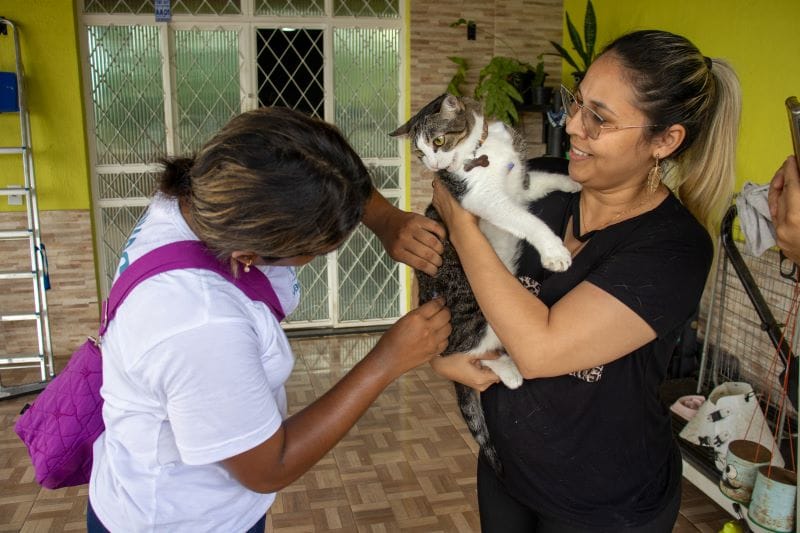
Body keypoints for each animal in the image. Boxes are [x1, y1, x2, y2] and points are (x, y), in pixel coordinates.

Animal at [390, 92, 580, 474]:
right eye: (419, 153)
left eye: (436, 142)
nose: (433, 166)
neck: (481, 148)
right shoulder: (480, 198)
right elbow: (525, 220)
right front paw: (554, 251)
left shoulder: (520, 188)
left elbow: (539, 181)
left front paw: (572, 182)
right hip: (475, 309)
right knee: (464, 352)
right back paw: (508, 370)